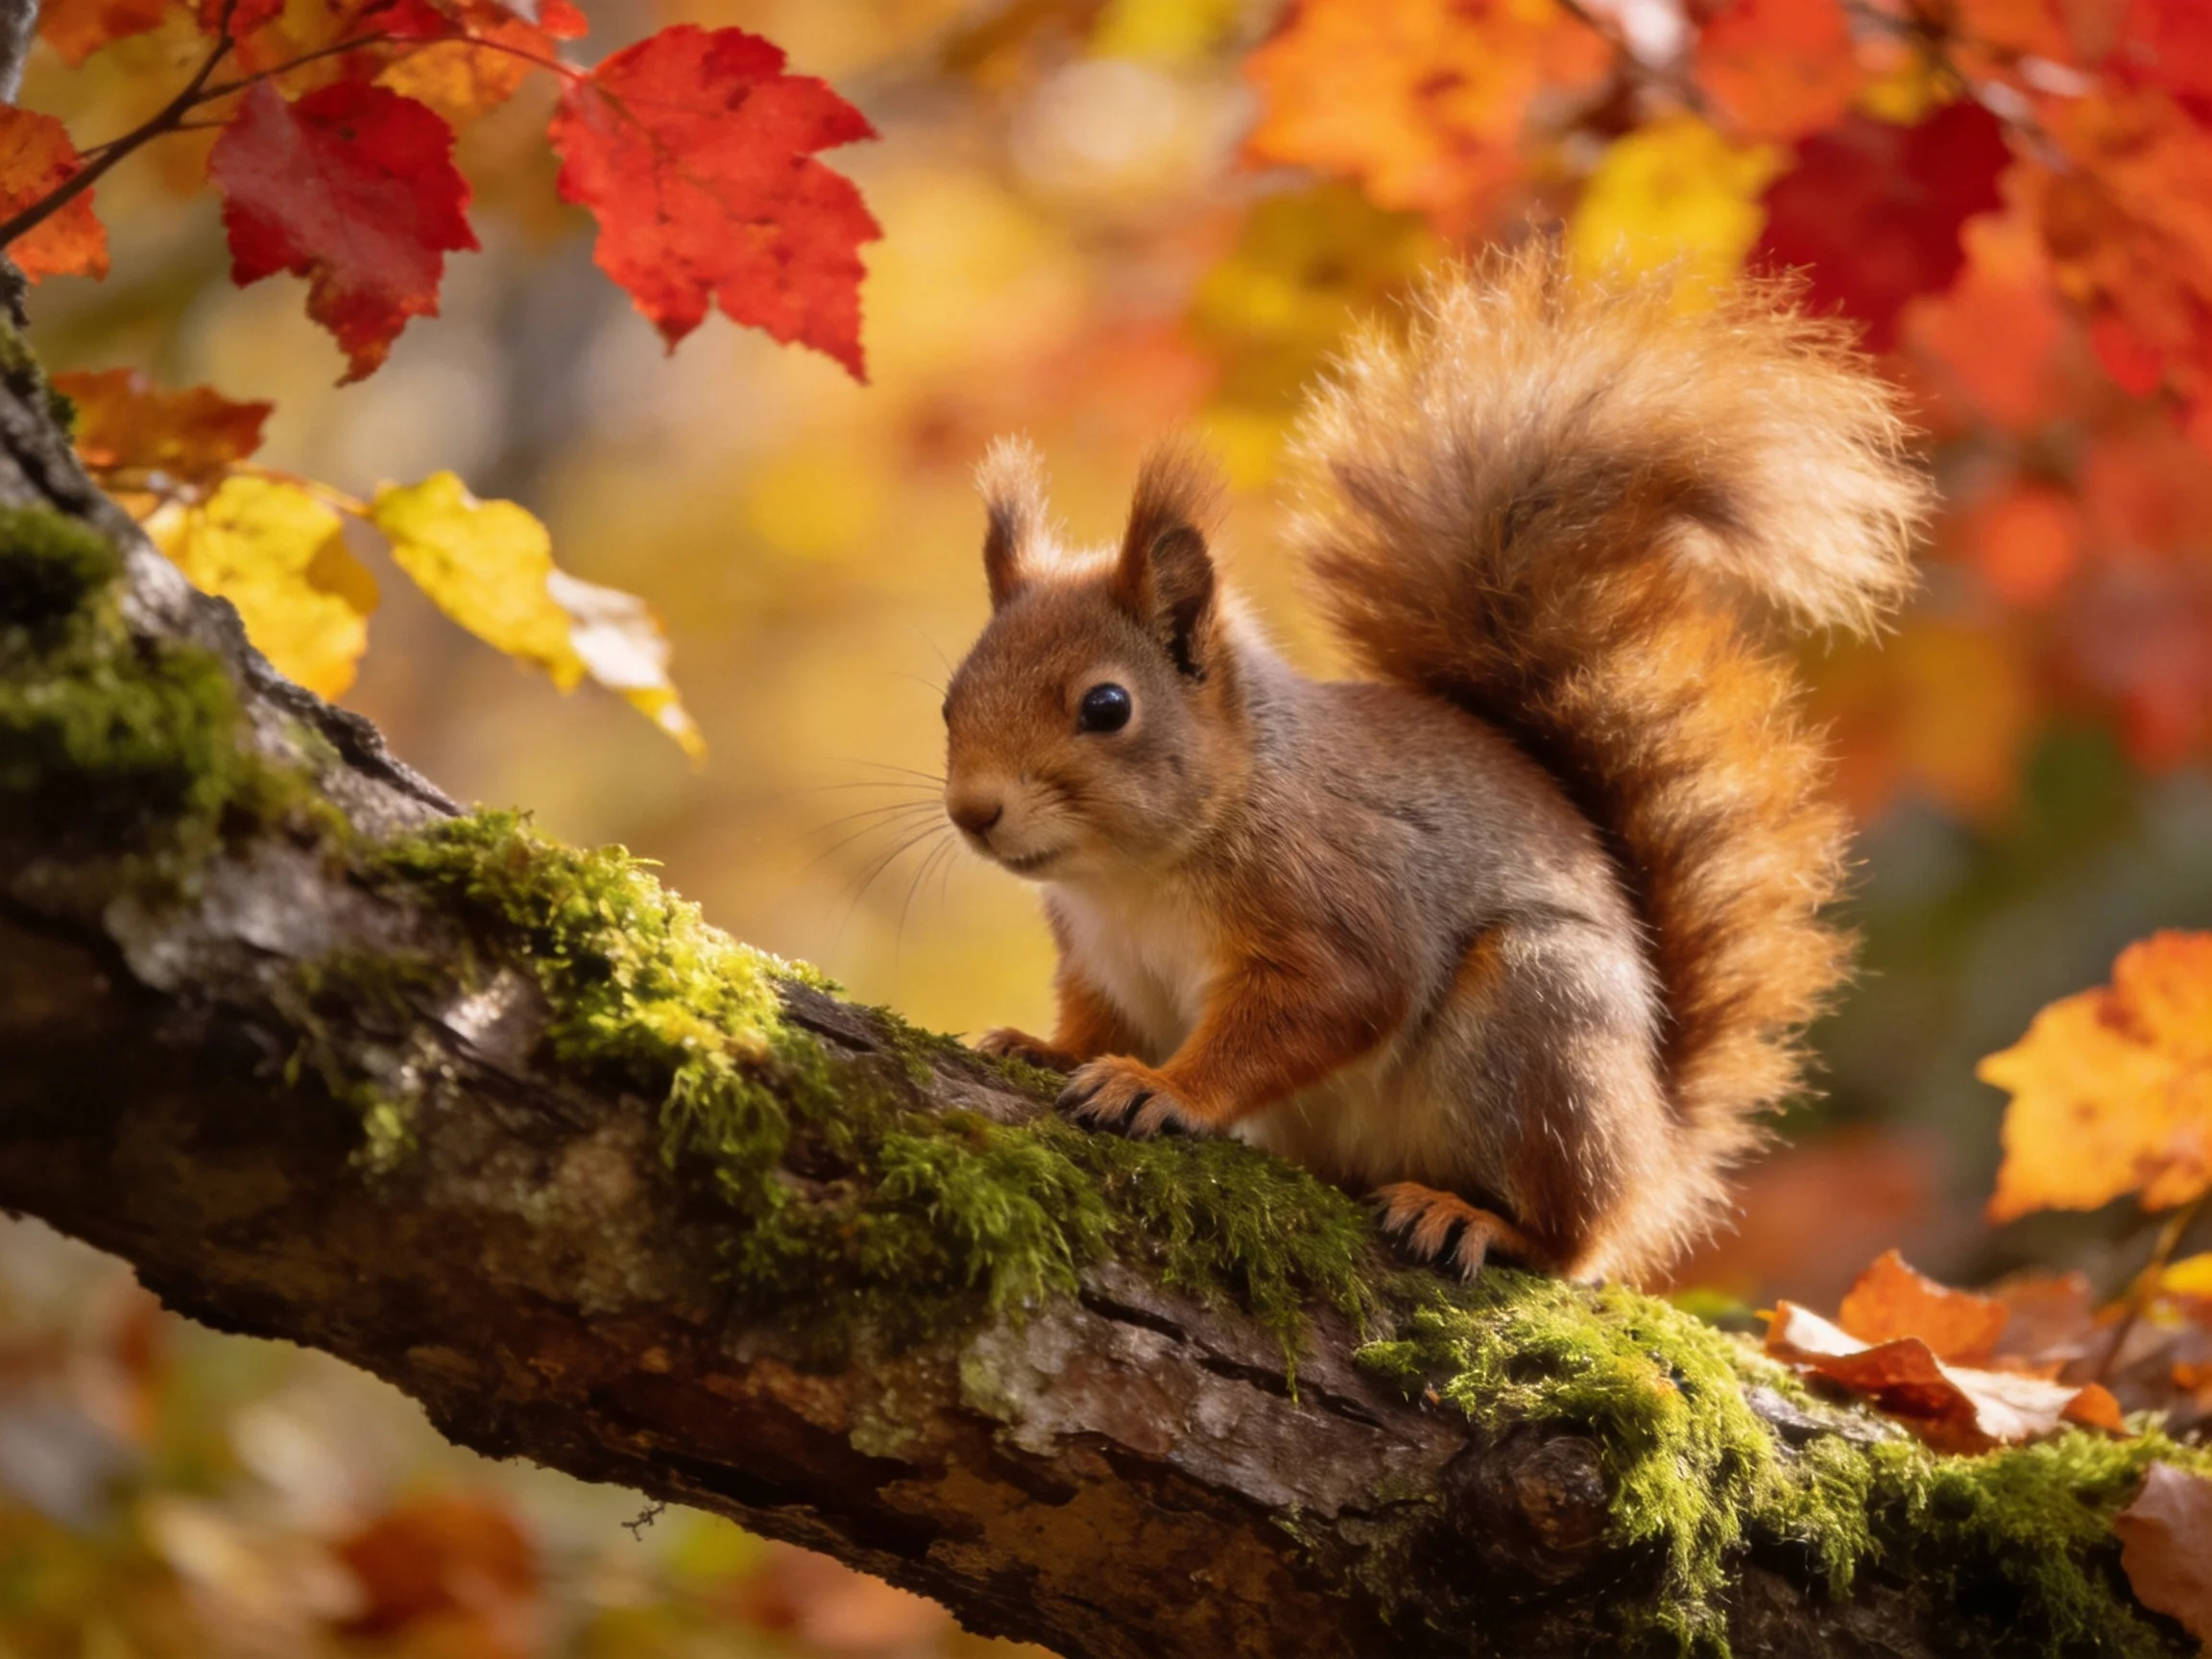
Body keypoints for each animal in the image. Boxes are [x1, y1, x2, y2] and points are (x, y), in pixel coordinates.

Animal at [939, 246, 1930, 1283]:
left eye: (1107, 707)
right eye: (951, 698)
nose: (974, 811)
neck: (1133, 877)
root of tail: (1659, 1149)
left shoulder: (1334, 906)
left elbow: (1329, 1005)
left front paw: (1163, 1089)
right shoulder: (1101, 961)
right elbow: (1096, 1024)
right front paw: (1044, 1049)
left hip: (1540, 1026)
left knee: (1573, 1239)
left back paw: (1477, 1220)